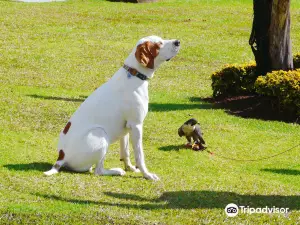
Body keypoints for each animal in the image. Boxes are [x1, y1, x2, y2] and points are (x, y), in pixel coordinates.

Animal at [44, 36, 180, 180]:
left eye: (162, 39)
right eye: (159, 44)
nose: (178, 42)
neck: (134, 74)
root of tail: (61, 157)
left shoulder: (127, 128)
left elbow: (125, 152)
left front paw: (130, 168)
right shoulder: (136, 125)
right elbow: (139, 155)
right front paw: (147, 175)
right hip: (100, 134)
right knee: (98, 171)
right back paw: (116, 171)